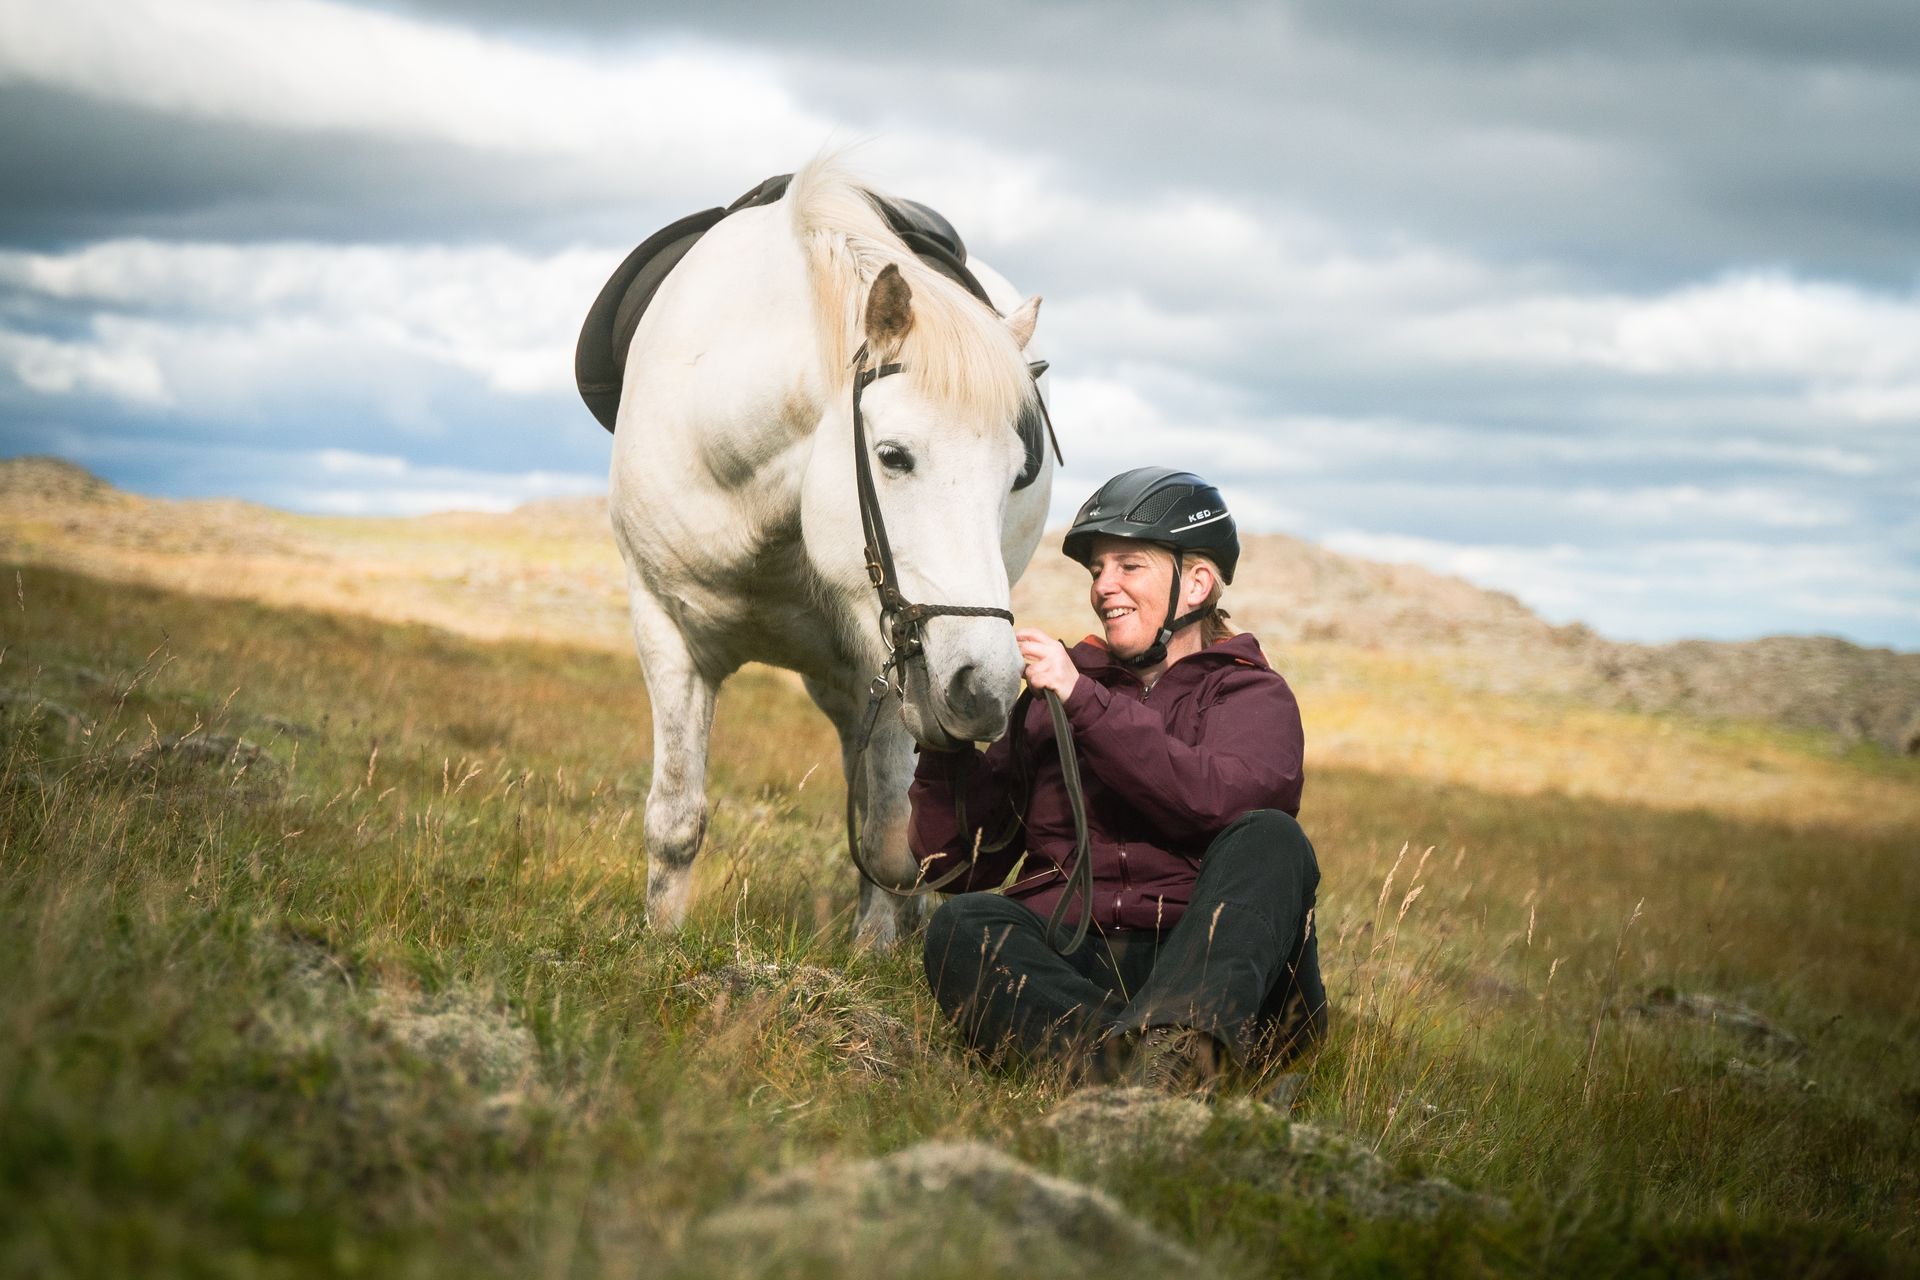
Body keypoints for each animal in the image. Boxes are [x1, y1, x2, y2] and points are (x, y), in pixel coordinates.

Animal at [604, 159, 1052, 947]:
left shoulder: (899, 669)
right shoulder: (666, 630)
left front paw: (874, 956)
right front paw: (659, 941)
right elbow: (675, 820)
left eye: (1017, 473)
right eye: (894, 456)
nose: (987, 689)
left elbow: (892, 840)